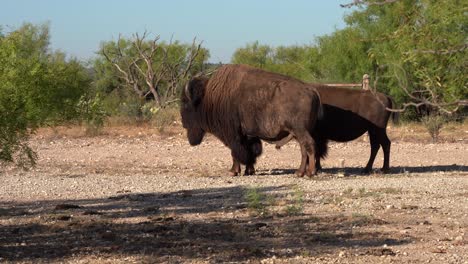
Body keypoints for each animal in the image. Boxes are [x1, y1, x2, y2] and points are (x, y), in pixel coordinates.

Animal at [181, 63, 324, 177]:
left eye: (186, 104)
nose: (183, 122)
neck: (209, 98)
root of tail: (312, 90)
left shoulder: (234, 135)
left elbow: (236, 152)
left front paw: (233, 171)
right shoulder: (249, 135)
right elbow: (251, 152)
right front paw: (249, 171)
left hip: (300, 130)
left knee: (309, 145)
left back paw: (309, 172)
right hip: (299, 132)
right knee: (304, 148)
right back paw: (300, 172)